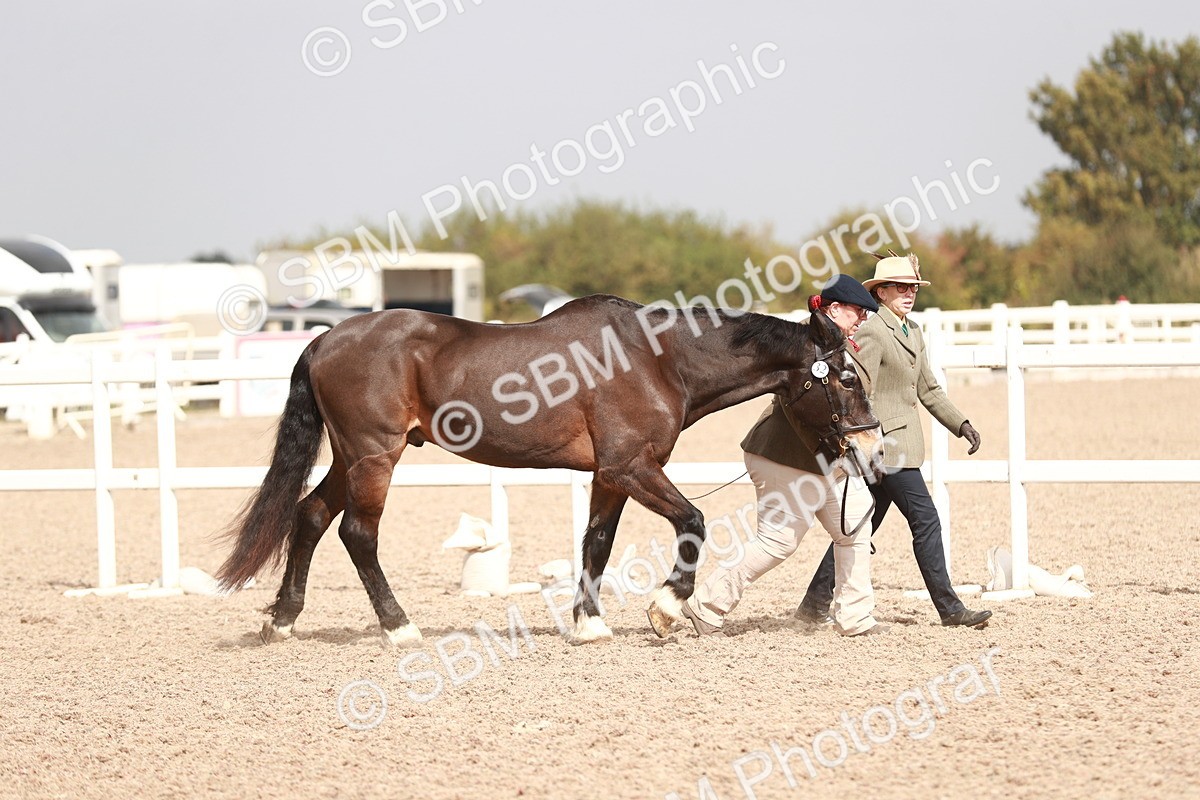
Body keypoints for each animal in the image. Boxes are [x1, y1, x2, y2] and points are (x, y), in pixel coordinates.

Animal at [215, 294, 883, 646]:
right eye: (848, 379)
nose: (874, 449)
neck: (657, 360)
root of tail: (324, 338)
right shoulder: (632, 465)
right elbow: (692, 520)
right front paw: (666, 606)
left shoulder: (610, 475)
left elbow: (597, 542)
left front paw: (589, 623)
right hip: (374, 455)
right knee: (358, 534)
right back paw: (399, 627)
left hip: (350, 457)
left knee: (310, 515)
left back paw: (283, 620)